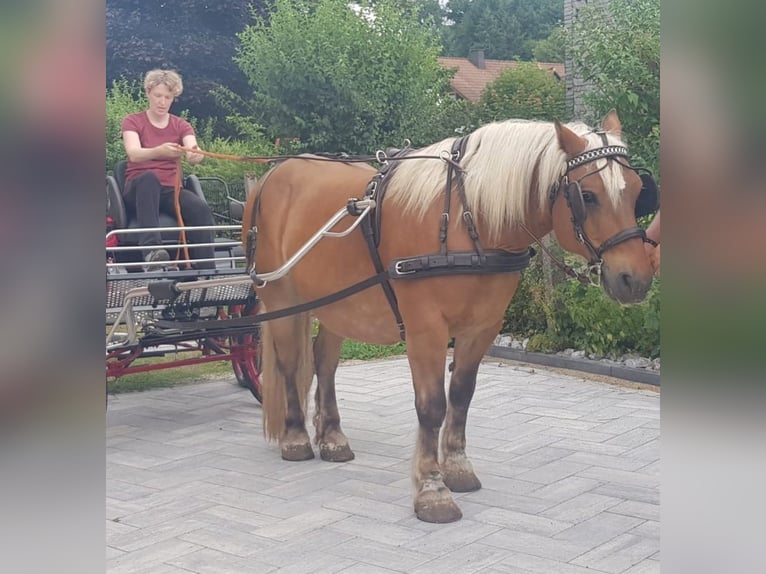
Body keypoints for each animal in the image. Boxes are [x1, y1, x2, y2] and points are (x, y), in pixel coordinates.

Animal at [241, 110, 657, 523]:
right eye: (587, 196)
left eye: (638, 190)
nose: (635, 278)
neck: (466, 219)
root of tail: (269, 177)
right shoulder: (426, 329)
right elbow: (431, 406)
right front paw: (431, 490)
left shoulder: (483, 328)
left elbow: (461, 395)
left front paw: (456, 468)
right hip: (281, 297)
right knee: (289, 363)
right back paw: (296, 437)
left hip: (338, 305)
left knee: (324, 362)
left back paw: (332, 437)